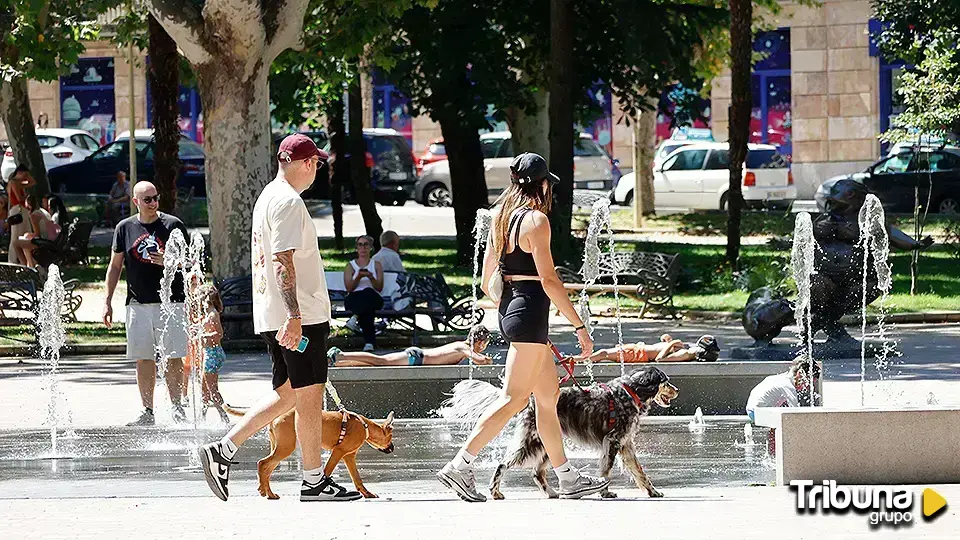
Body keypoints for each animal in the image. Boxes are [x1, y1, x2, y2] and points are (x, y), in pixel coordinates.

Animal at [224, 404, 394, 498]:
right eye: (391, 437)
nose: (392, 448)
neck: (365, 427)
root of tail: (277, 416)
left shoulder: (349, 456)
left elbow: (357, 478)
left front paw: (367, 493)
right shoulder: (338, 451)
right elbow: (327, 470)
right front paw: (324, 487)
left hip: (280, 447)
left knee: (266, 468)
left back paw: (268, 493)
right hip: (286, 447)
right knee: (262, 464)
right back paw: (265, 491)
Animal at [438, 364, 680, 500]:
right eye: (666, 382)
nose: (677, 390)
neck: (630, 392)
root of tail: (532, 400)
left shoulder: (626, 444)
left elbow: (640, 473)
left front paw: (652, 492)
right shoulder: (612, 442)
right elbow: (606, 471)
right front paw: (605, 492)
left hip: (546, 443)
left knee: (537, 472)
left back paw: (554, 493)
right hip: (531, 444)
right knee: (503, 464)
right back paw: (495, 492)